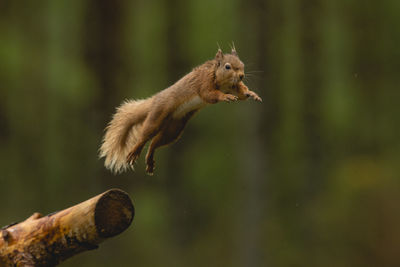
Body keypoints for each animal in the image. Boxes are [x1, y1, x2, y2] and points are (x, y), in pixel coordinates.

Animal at [99, 47, 260, 176]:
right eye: (227, 67)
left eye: (242, 65)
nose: (241, 76)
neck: (222, 81)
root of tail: (155, 99)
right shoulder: (203, 83)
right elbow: (208, 95)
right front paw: (225, 96)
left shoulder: (234, 86)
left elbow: (242, 93)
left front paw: (251, 94)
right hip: (157, 117)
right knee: (145, 136)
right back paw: (134, 152)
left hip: (174, 128)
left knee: (154, 143)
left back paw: (150, 161)